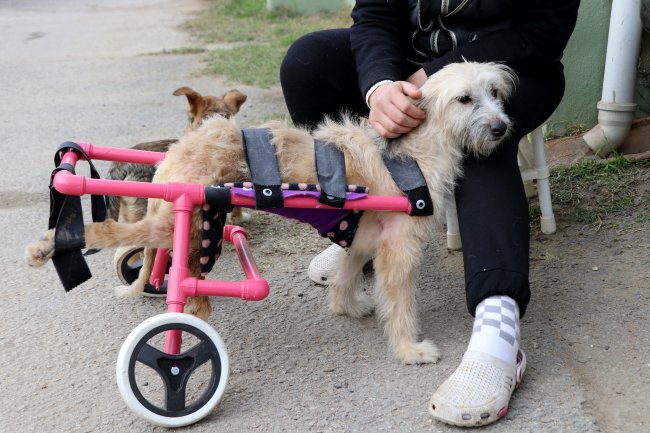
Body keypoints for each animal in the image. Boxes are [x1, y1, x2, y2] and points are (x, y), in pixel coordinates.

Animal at [25, 60, 512, 364]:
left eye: (494, 93)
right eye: (465, 99)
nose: (503, 127)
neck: (411, 152)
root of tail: (178, 149)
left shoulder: (362, 238)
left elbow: (347, 274)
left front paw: (347, 306)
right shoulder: (399, 251)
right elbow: (401, 306)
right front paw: (410, 350)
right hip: (178, 214)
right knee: (111, 232)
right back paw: (49, 246)